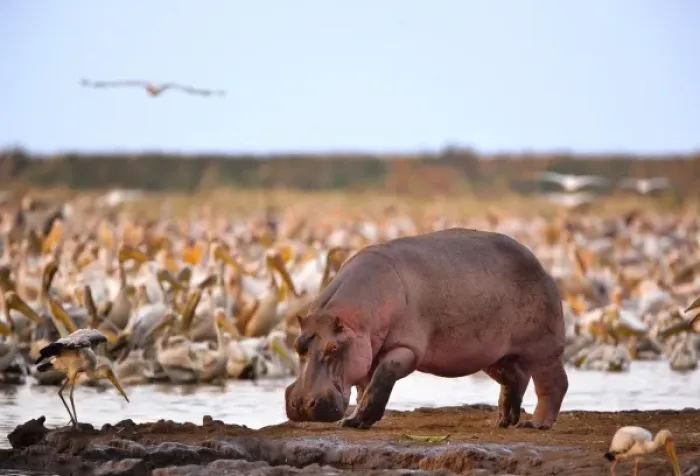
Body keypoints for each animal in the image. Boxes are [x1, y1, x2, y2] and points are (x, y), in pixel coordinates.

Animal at [285, 227, 568, 430]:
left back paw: (536, 425)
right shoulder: (364, 352)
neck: (353, 318)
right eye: (297, 345)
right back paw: (504, 421)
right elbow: (364, 388)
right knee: (516, 378)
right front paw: (353, 419)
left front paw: (357, 422)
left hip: (542, 349)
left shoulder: (405, 348)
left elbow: (380, 380)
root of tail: (541, 265)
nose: (301, 405)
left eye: (333, 347)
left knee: (553, 383)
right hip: (494, 355)